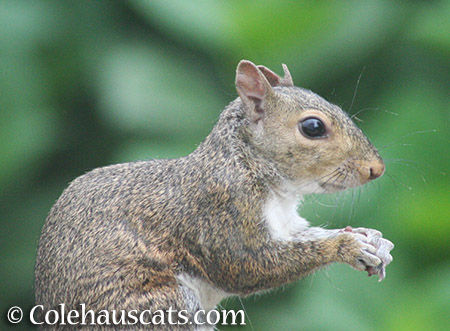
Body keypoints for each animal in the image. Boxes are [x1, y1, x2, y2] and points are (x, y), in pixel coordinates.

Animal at [35, 59, 394, 330]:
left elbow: (308, 236)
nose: (377, 168)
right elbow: (248, 265)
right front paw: (346, 246)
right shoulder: (220, 214)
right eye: (313, 127)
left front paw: (372, 239)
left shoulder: (288, 225)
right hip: (156, 307)